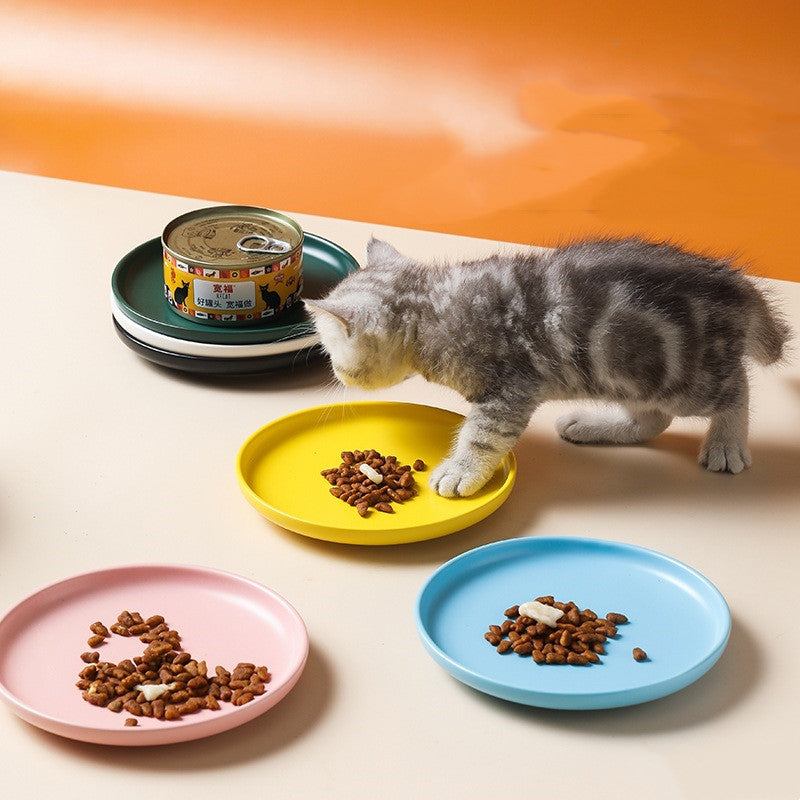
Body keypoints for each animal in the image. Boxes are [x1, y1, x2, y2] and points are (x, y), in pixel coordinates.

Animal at [304, 236, 792, 494]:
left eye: (330, 355)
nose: (334, 375)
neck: (430, 306)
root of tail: (737, 284)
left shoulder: (510, 390)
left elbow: (483, 436)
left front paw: (460, 472)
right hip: (628, 370)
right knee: (653, 419)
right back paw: (594, 426)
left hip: (683, 376)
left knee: (736, 387)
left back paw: (726, 444)